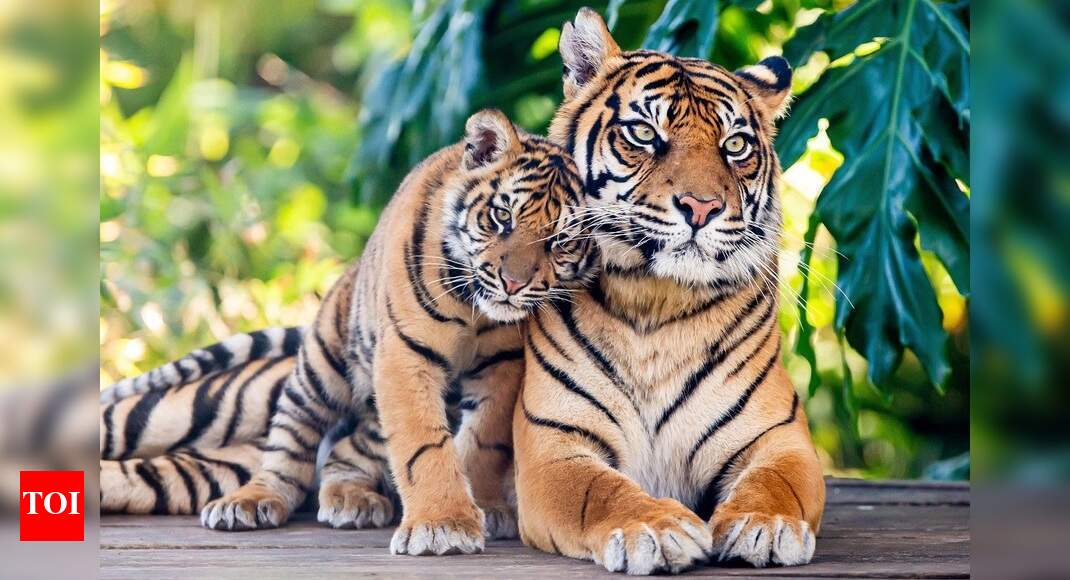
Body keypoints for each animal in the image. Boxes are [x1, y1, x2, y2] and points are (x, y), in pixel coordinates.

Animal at [170, 108, 595, 557]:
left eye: (560, 240)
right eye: (502, 217)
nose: (513, 284)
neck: (474, 308)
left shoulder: (503, 364)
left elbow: (483, 440)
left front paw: (485, 508)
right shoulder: (406, 356)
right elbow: (422, 445)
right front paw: (442, 525)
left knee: (344, 450)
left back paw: (351, 497)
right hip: (321, 367)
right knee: (290, 439)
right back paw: (251, 501)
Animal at [510, 9, 825, 575]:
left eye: (735, 145)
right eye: (642, 133)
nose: (702, 207)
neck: (657, 298)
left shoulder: (778, 436)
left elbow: (777, 482)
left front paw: (764, 525)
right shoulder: (554, 447)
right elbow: (598, 492)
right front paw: (657, 528)